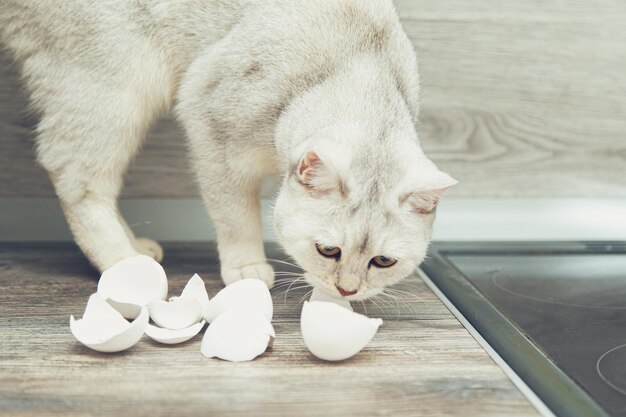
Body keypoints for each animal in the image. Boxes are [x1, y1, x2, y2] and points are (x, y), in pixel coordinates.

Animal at [0, 0, 454, 300]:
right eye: (328, 251)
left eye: (383, 262)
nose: (347, 290)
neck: (355, 62)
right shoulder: (211, 126)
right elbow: (235, 217)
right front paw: (246, 266)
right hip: (112, 89)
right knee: (75, 178)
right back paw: (124, 264)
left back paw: (138, 248)